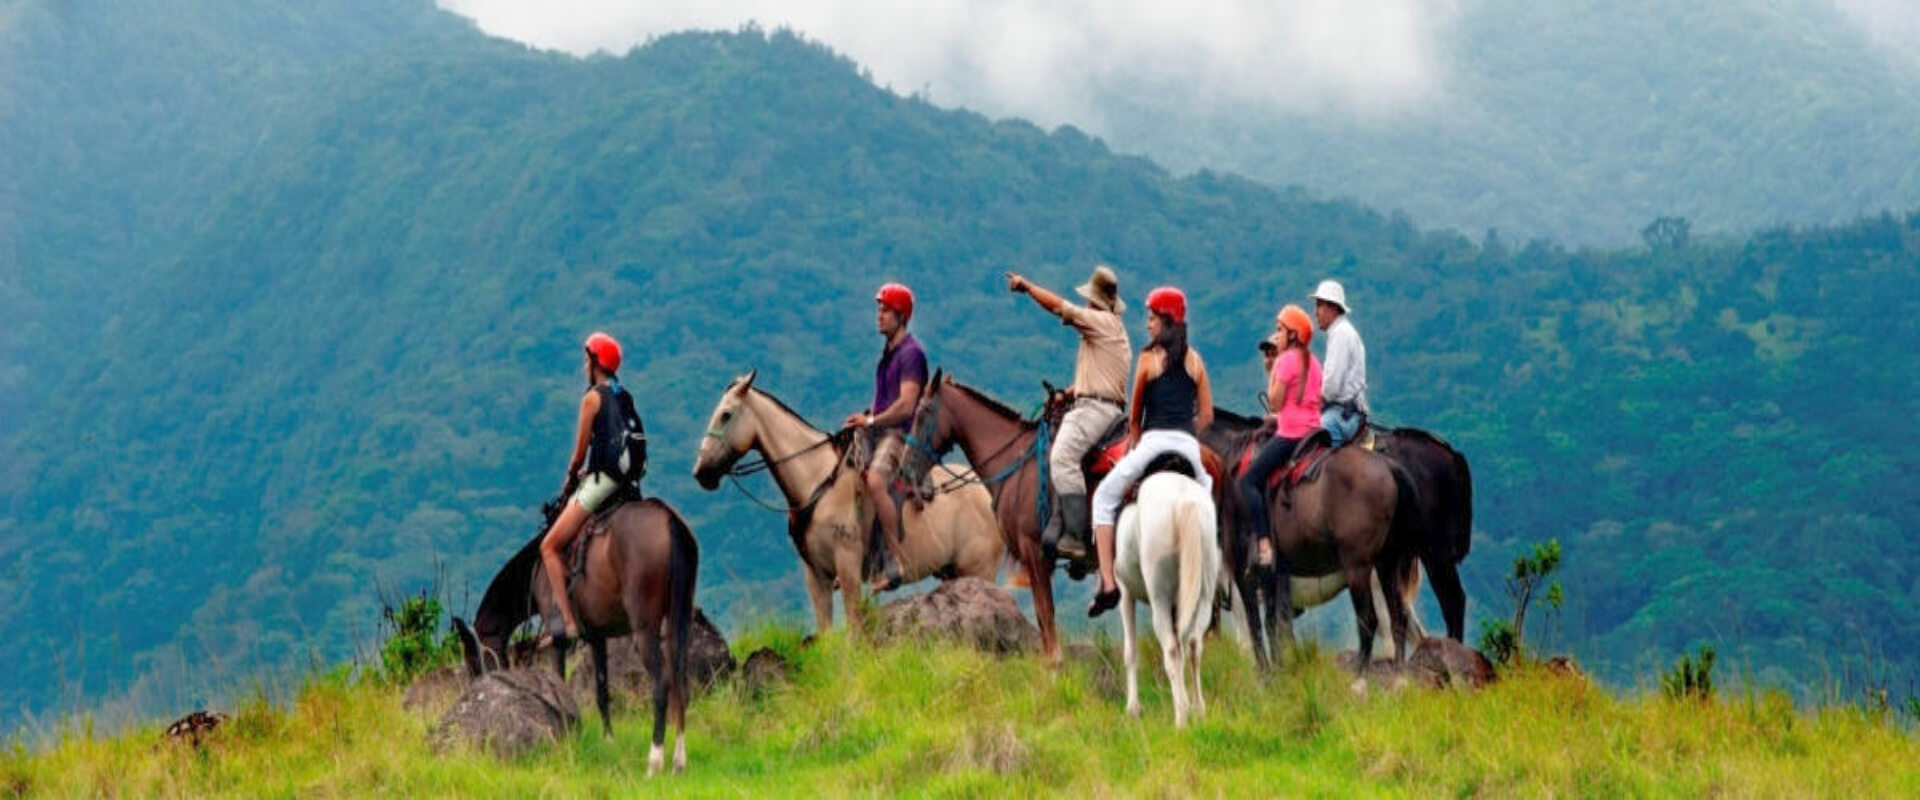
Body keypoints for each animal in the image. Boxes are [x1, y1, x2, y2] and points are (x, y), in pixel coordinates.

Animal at [453, 498, 702, 775]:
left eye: (472, 662)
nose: (477, 687)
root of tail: (668, 518)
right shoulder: (597, 637)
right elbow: (602, 692)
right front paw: (609, 741)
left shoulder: (558, 642)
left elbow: (559, 685)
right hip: (681, 619)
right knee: (681, 684)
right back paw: (679, 761)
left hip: (645, 628)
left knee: (661, 685)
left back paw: (654, 761)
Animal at [695, 370, 1006, 636]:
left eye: (725, 415)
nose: (701, 472)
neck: (817, 481)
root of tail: (985, 492)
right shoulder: (816, 574)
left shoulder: (847, 566)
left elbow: (854, 628)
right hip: (953, 573)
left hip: (979, 569)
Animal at [1121, 470, 1221, 725]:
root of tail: (1183, 500)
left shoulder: (1125, 592)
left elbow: (1130, 651)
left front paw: (1133, 709)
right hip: (1203, 595)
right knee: (1194, 645)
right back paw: (1198, 710)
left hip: (1160, 600)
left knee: (1172, 651)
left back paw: (1181, 717)